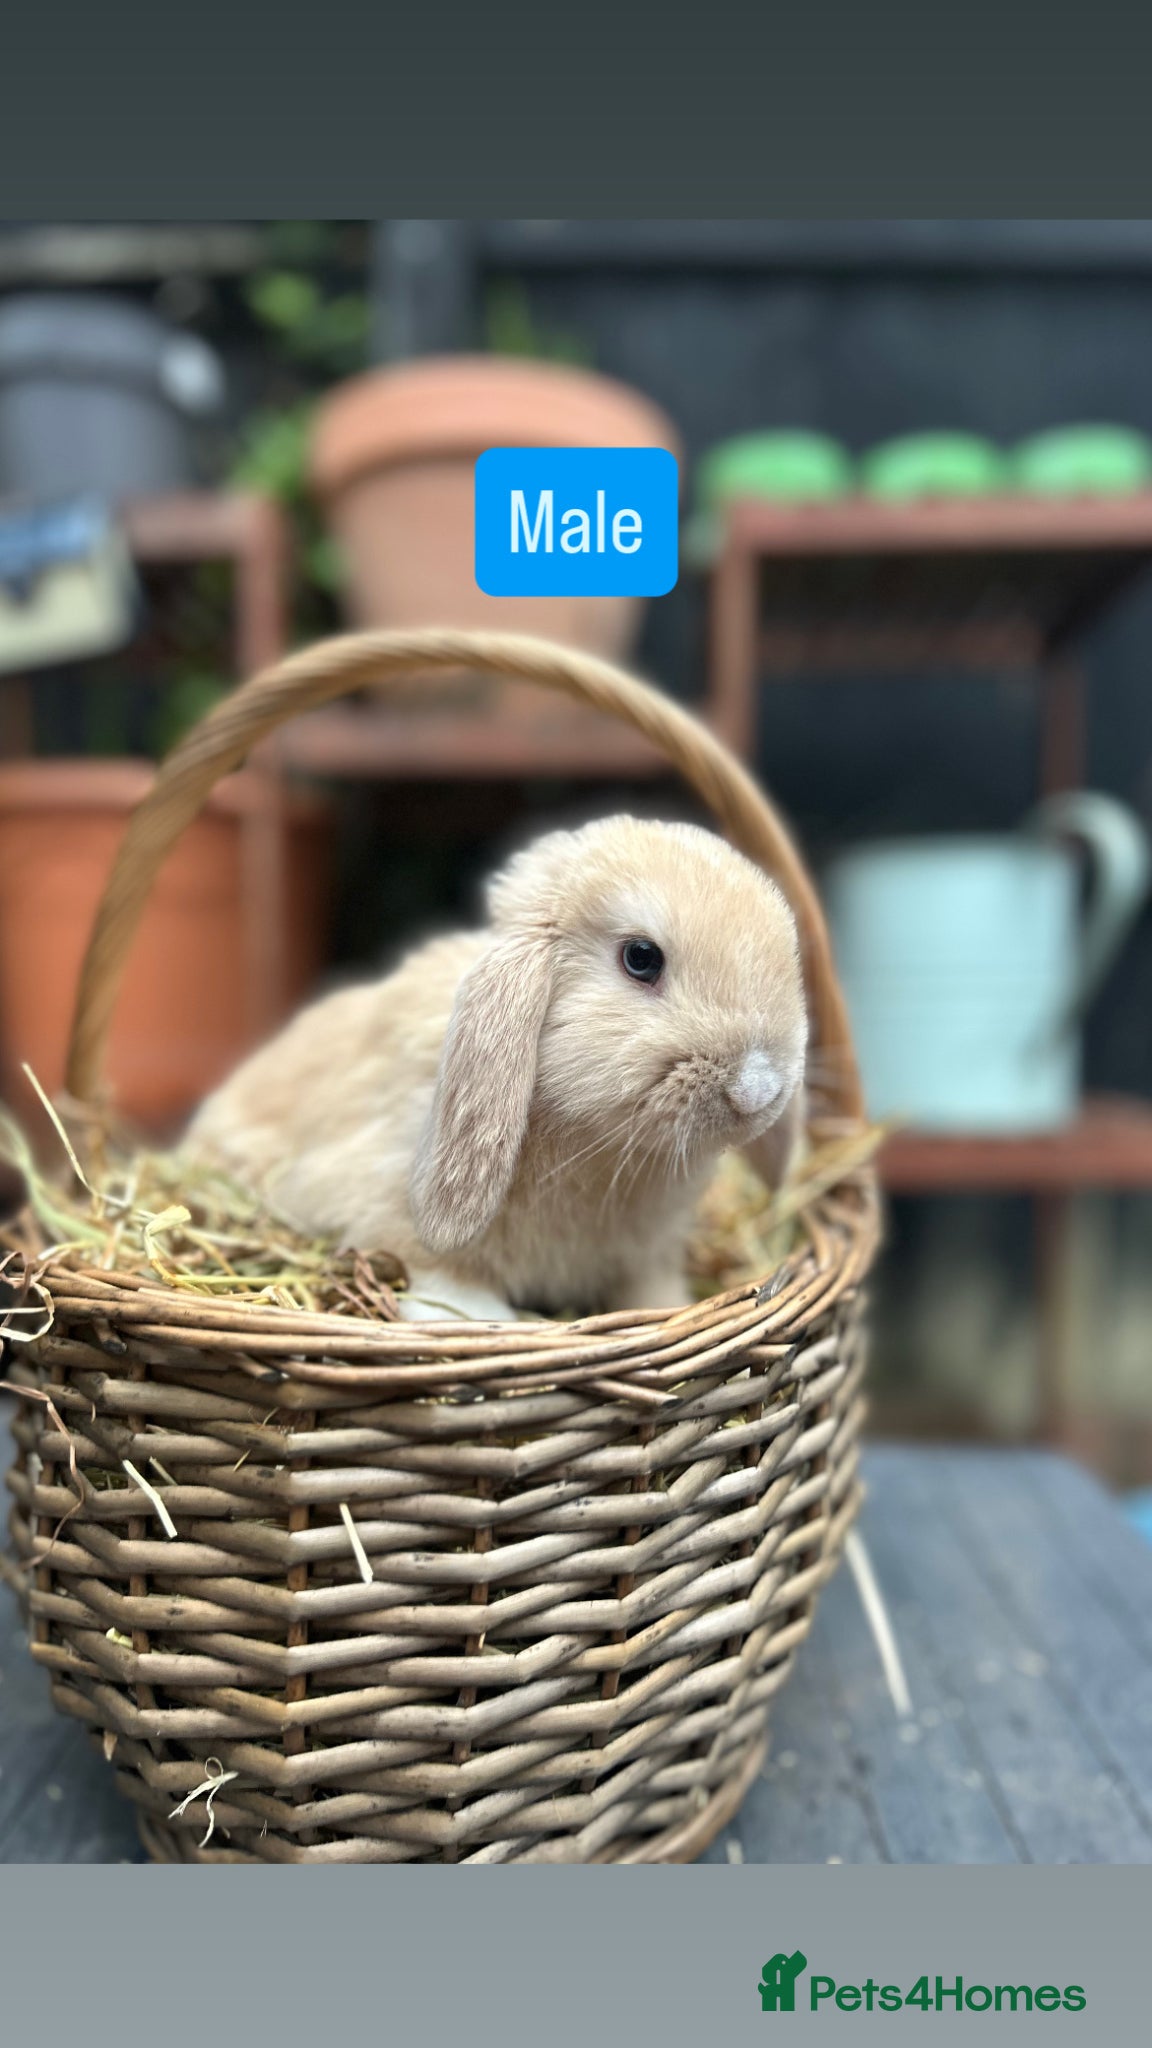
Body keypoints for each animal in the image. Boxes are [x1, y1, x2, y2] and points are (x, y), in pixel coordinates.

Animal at [183, 815, 808, 1321]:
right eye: (640, 958)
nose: (758, 1089)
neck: (596, 1150)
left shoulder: (646, 1255)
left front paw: (670, 1308)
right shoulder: (384, 1208)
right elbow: (440, 1277)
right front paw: (489, 1321)